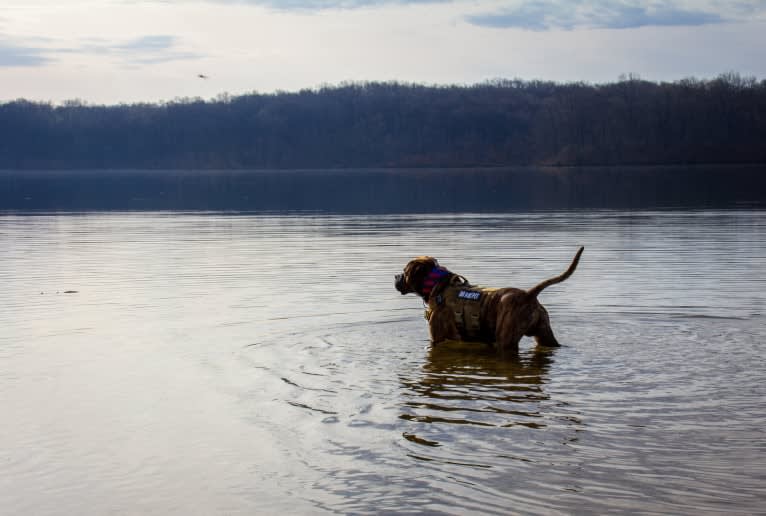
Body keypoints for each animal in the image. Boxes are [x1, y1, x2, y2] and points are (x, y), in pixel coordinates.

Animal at [396, 247, 588, 352]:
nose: (395, 276)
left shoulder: (437, 338)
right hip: (545, 335)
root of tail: (529, 294)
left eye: (404, 272)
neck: (437, 283)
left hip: (507, 339)